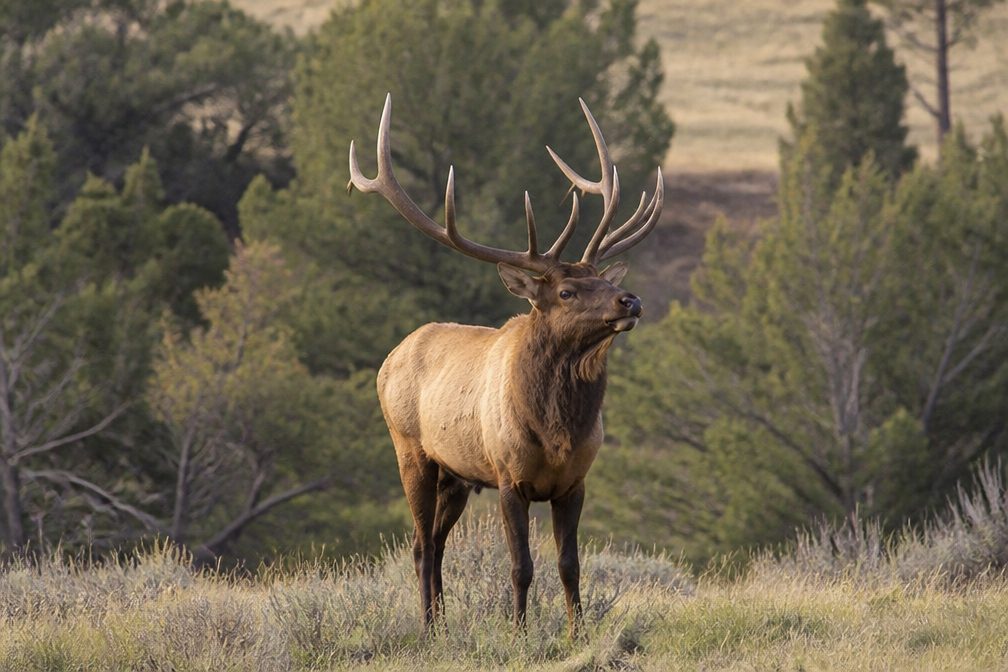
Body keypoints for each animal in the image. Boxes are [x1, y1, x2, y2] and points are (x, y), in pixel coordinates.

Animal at [347, 94, 663, 637]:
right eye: (567, 291)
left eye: (604, 278)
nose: (631, 300)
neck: (557, 431)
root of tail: (390, 358)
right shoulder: (508, 477)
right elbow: (521, 566)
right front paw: (518, 634)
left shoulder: (574, 482)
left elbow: (569, 565)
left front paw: (576, 632)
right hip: (411, 450)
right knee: (421, 544)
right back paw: (428, 630)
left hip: (456, 475)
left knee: (437, 544)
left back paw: (444, 626)